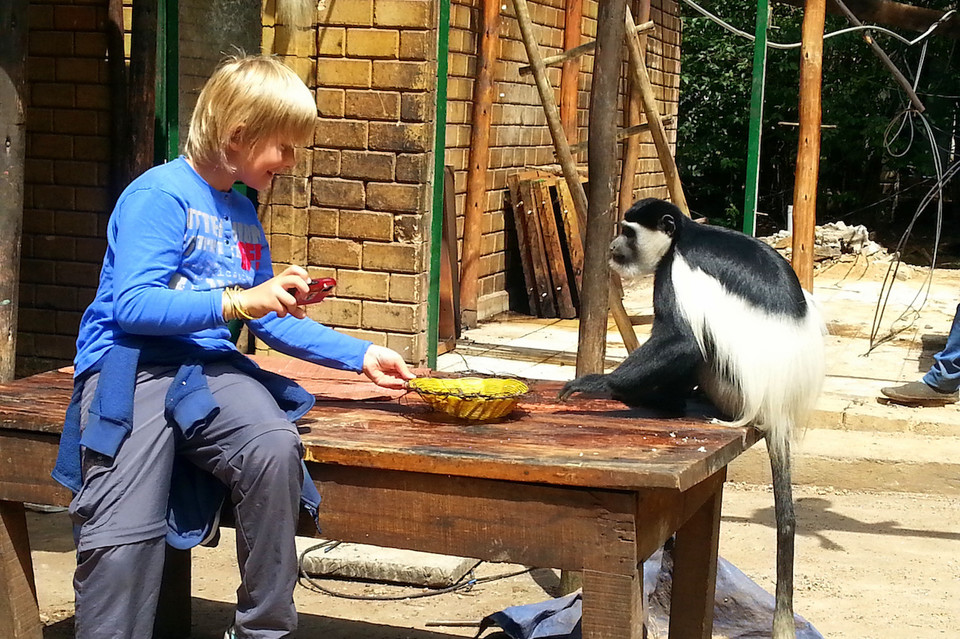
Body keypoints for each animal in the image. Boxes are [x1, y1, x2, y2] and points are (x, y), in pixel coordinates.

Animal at [564, 198, 824, 639]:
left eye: (628, 232)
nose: (614, 247)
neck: (683, 237)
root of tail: (776, 408)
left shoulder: (676, 272)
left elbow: (682, 339)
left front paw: (602, 384)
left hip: (730, 386)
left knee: (700, 345)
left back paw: (664, 399)